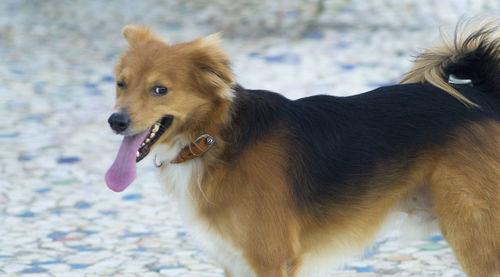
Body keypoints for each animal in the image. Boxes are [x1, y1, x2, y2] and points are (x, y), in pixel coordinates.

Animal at [105, 18, 500, 274]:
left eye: (160, 90)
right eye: (121, 84)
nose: (115, 122)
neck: (215, 138)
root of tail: (484, 94)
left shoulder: (270, 258)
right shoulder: (233, 260)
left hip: (475, 235)